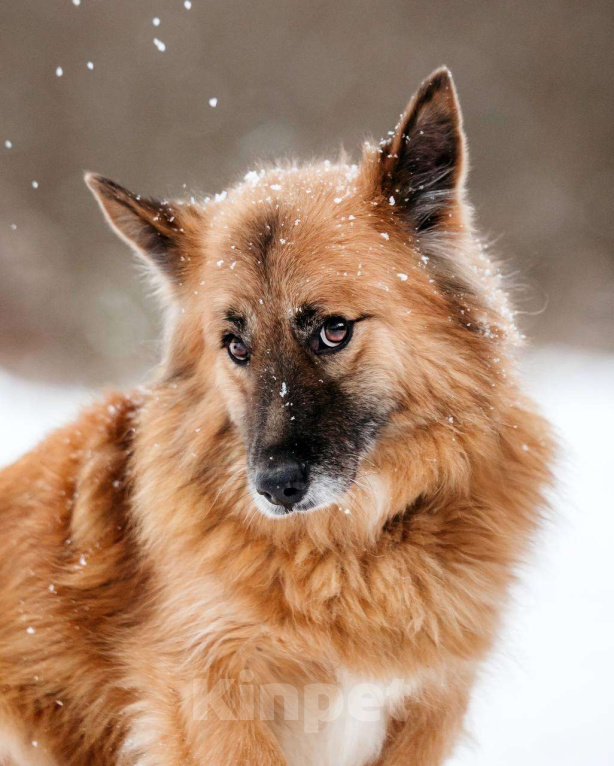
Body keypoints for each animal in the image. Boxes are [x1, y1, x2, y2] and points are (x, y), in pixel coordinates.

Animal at [0, 69, 556, 764]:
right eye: (236, 346)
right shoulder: (213, 696)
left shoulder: (431, 703)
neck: (353, 549)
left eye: (333, 330)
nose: (275, 488)